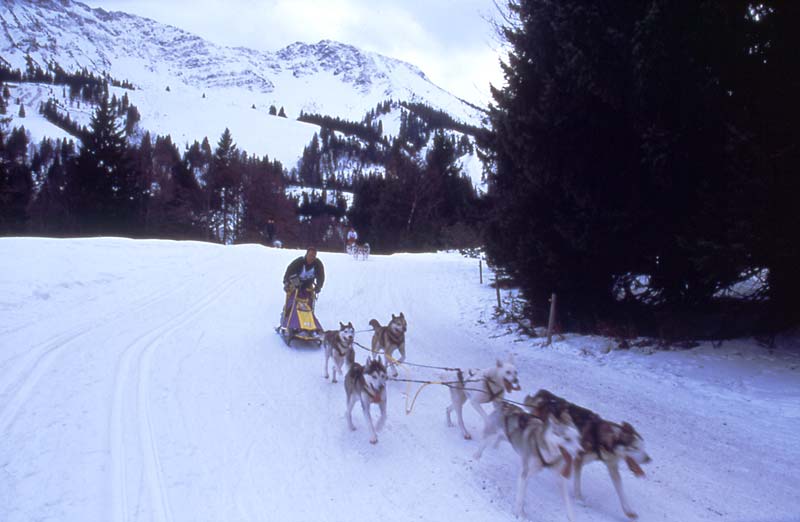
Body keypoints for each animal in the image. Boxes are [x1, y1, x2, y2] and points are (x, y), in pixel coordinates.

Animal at [524, 388, 648, 516]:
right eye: (635, 447)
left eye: (643, 447)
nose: (648, 459)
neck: (600, 438)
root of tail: (546, 396)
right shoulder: (579, 460)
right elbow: (577, 483)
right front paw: (578, 499)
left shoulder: (612, 466)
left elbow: (620, 489)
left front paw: (628, 511)